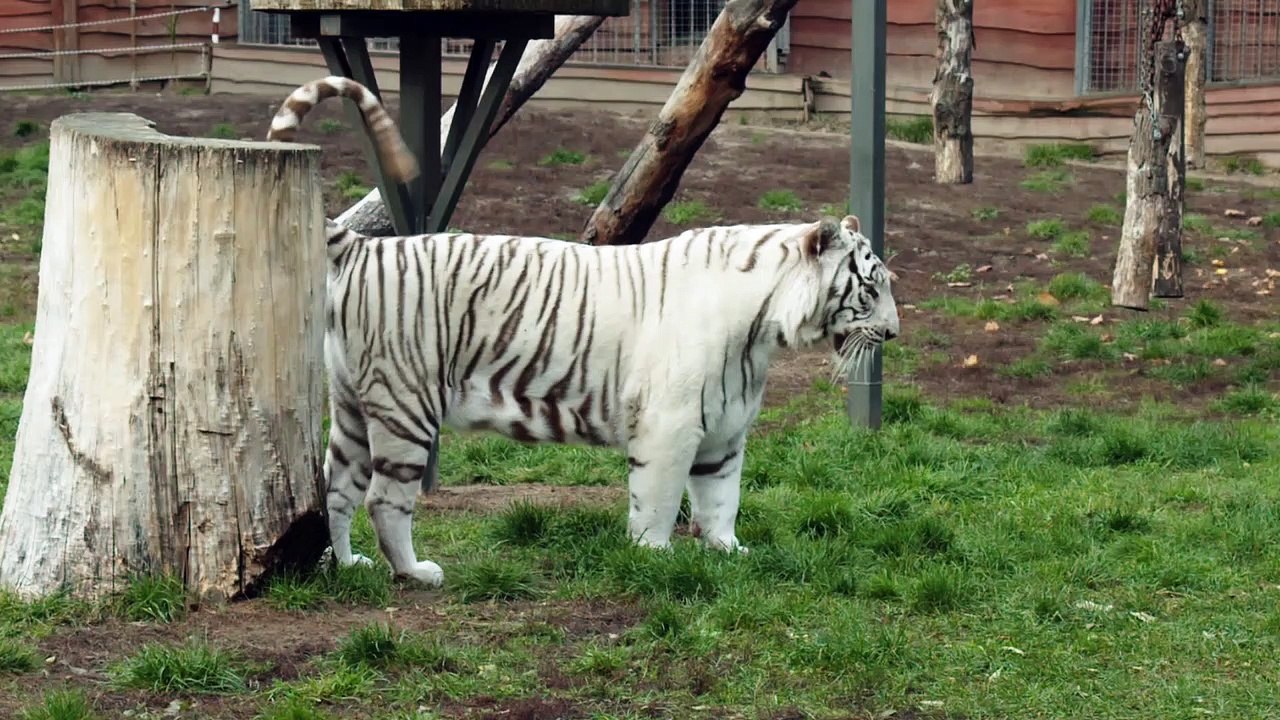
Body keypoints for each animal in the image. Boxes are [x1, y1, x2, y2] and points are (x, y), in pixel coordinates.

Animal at [267, 77, 901, 588]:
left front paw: (730, 553)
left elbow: (722, 498)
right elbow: (658, 501)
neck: (762, 331)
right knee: (383, 498)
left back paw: (349, 565)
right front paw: (654, 559)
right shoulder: (669, 427)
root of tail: (361, 245)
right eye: (871, 290)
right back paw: (416, 573)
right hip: (405, 406)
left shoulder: (723, 431)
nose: (893, 334)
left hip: (353, 406)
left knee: (336, 490)